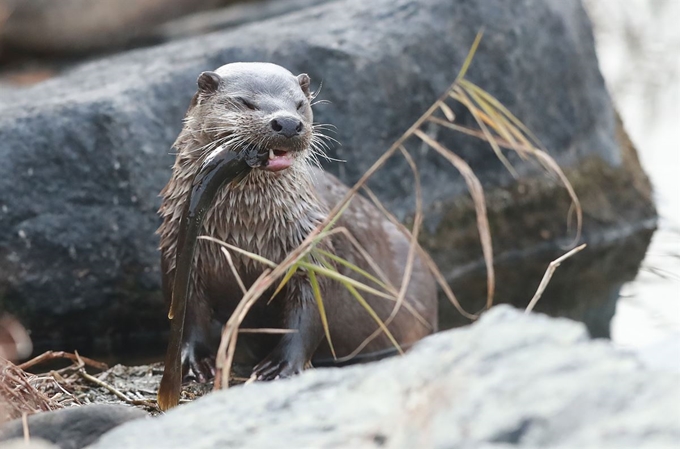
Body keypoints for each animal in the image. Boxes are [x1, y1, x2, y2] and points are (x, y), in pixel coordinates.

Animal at [157, 63, 438, 388]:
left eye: (300, 104)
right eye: (245, 102)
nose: (289, 123)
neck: (246, 234)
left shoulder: (311, 246)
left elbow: (310, 311)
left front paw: (281, 365)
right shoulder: (178, 249)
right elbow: (188, 311)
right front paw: (194, 360)